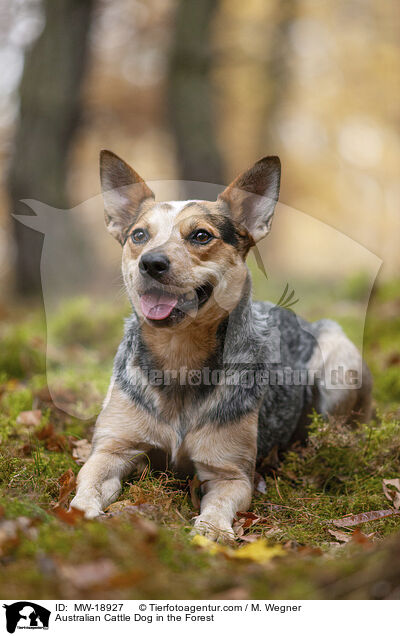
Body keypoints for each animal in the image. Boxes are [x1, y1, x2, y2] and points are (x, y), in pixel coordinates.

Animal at [71, 152, 372, 540]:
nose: (151, 262)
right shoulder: (113, 448)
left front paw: (211, 530)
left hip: (340, 363)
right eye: (139, 235)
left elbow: (219, 505)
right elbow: (90, 479)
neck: (179, 355)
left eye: (201, 235)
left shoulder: (230, 473)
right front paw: (80, 512)